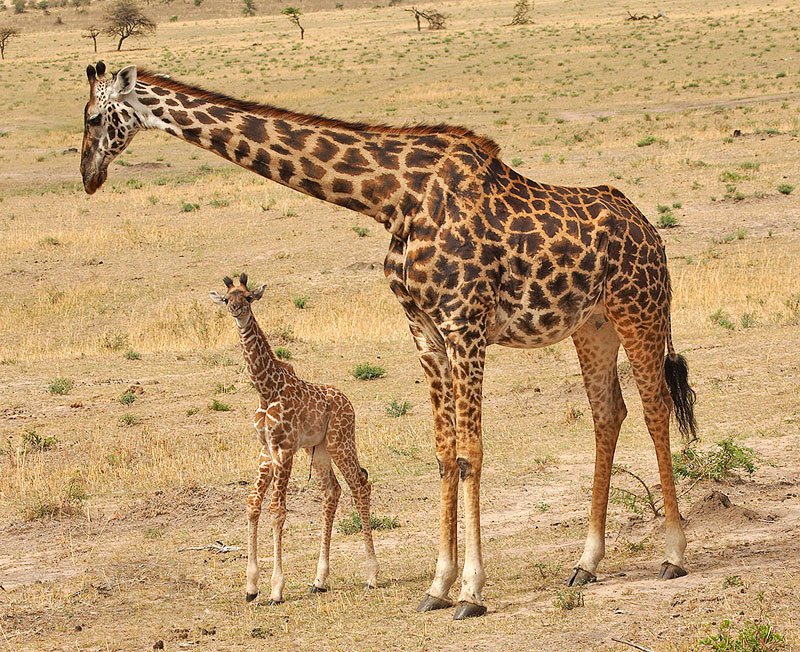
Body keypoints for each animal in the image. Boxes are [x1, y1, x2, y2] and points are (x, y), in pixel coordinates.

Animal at [209, 272, 378, 604]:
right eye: (226, 298)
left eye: (248, 297)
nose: (236, 310)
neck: (266, 389)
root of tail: (348, 402)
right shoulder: (265, 450)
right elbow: (252, 504)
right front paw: (251, 587)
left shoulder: (284, 448)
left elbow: (277, 511)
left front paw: (276, 589)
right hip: (320, 448)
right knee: (332, 492)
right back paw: (319, 580)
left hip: (340, 441)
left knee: (360, 486)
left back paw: (372, 575)